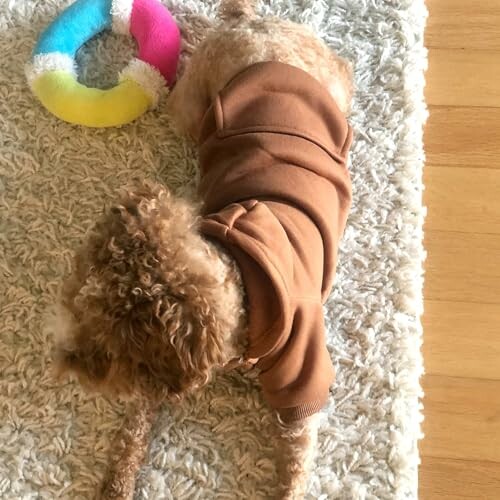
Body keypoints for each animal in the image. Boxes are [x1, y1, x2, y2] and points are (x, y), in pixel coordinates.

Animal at [52, 1, 354, 498]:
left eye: (105, 345)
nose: (62, 359)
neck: (244, 278)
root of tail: (251, 24)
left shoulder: (304, 377)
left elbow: (295, 462)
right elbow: (130, 436)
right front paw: (115, 483)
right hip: (192, 108)